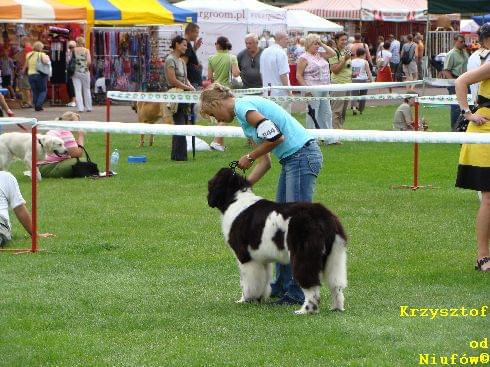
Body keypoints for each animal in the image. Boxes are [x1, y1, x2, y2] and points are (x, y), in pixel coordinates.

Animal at [208, 168, 348, 314]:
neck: (235, 198)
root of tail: (322, 215)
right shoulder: (261, 260)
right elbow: (263, 280)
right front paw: (260, 298)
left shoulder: (245, 257)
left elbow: (246, 281)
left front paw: (245, 300)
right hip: (336, 255)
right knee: (336, 284)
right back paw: (336, 307)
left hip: (304, 254)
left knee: (311, 285)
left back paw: (305, 310)